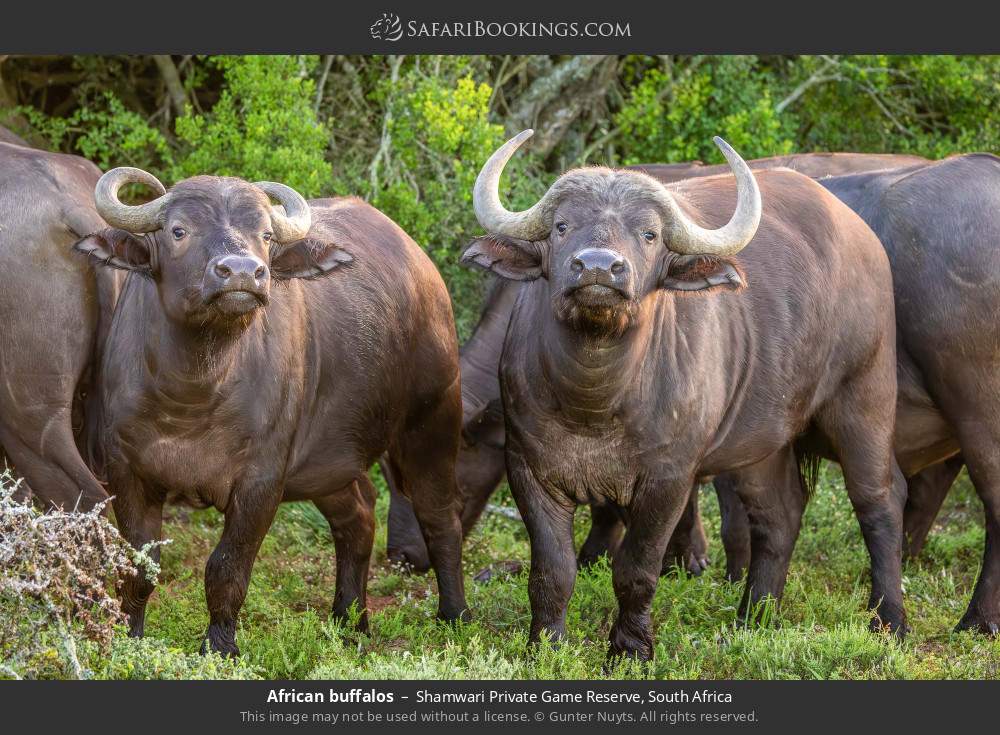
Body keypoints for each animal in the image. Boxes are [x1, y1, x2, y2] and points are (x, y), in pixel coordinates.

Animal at [75, 168, 468, 656]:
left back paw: (454, 616)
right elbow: (140, 566)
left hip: (432, 423)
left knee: (441, 517)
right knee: (358, 516)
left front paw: (219, 647)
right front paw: (129, 637)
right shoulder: (127, 471)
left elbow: (226, 568)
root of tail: (424, 269)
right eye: (178, 230)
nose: (243, 272)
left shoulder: (261, 481)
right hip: (330, 462)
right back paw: (348, 620)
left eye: (264, 234)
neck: (192, 395)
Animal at [459, 130, 906, 660]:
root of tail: (866, 241)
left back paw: (889, 619)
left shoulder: (669, 479)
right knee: (780, 515)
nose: (598, 268)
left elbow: (636, 569)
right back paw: (754, 618)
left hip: (865, 399)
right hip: (760, 444)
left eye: (649, 234)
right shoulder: (530, 470)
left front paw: (630, 648)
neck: (595, 403)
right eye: (562, 226)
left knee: (879, 503)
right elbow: (552, 571)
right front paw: (545, 644)